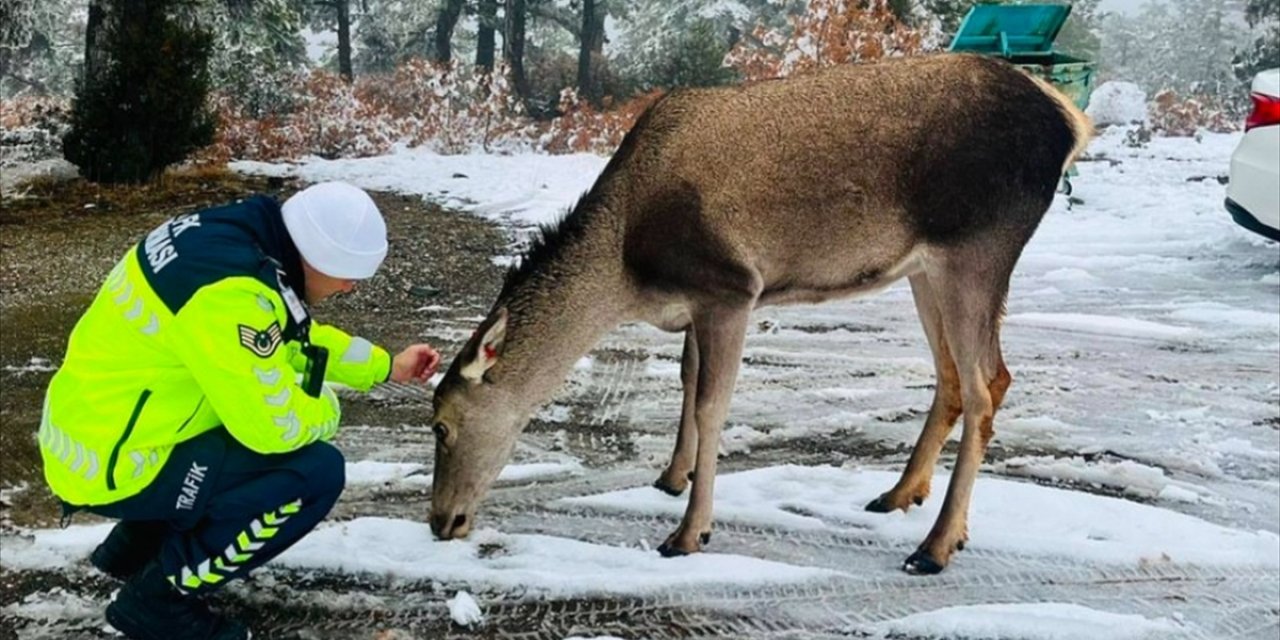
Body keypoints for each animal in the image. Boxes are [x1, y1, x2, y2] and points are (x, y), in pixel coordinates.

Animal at [427, 53, 1090, 576]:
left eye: (441, 426)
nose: (439, 522)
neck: (626, 271)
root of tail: (1071, 122)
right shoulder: (696, 302)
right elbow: (687, 381)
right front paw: (672, 478)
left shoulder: (731, 286)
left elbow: (712, 404)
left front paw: (689, 533)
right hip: (924, 269)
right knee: (954, 376)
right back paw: (900, 494)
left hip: (977, 248)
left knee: (988, 384)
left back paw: (936, 546)